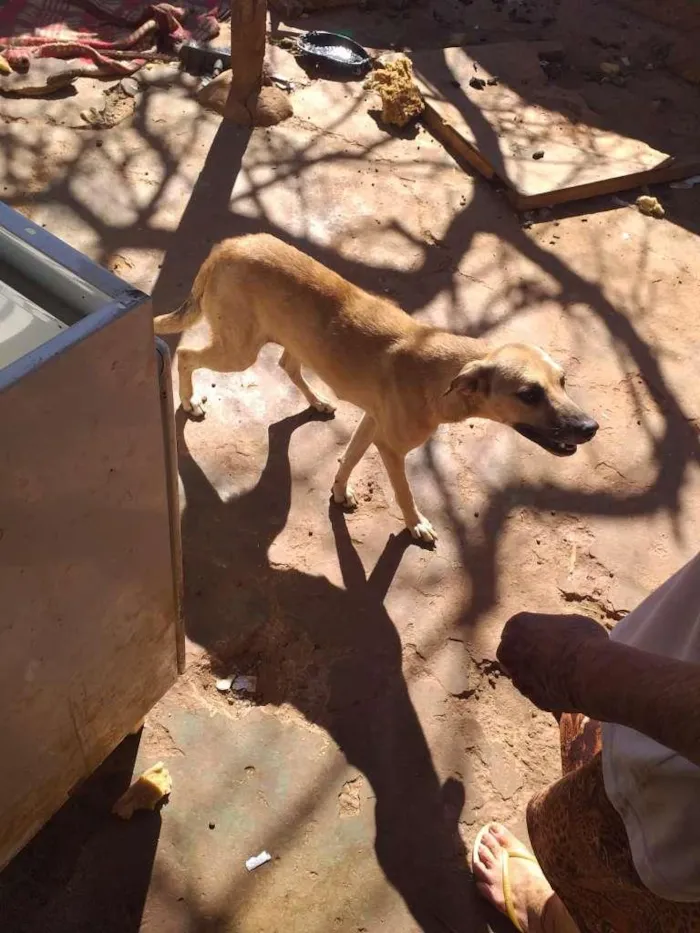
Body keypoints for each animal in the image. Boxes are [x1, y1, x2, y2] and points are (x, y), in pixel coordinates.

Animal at [154, 233, 596, 544]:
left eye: (563, 381)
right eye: (529, 394)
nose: (590, 428)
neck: (441, 375)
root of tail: (227, 246)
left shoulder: (371, 423)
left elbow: (348, 459)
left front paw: (339, 492)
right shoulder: (392, 447)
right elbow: (404, 492)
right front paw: (416, 525)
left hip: (287, 343)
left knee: (286, 366)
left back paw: (317, 403)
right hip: (239, 351)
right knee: (187, 354)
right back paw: (189, 402)